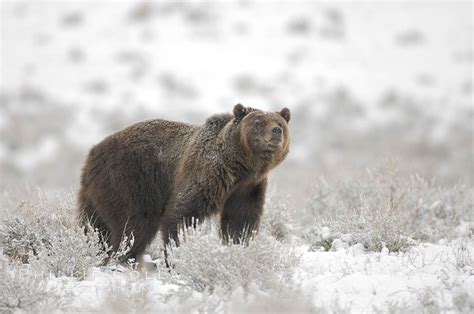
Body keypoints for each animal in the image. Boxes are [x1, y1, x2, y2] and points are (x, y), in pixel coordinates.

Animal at [78, 104, 288, 264]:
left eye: (280, 123)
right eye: (259, 122)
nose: (276, 131)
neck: (239, 168)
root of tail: (94, 151)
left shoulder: (248, 188)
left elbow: (241, 221)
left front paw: (237, 247)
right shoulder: (206, 173)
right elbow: (182, 214)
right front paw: (179, 256)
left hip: (97, 191)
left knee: (94, 224)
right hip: (130, 179)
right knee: (135, 224)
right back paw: (123, 256)